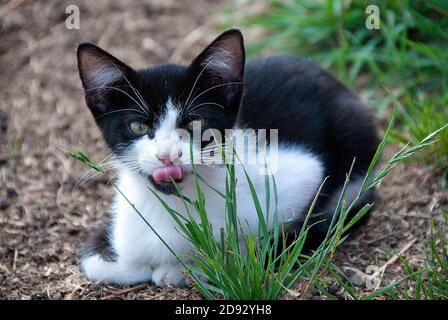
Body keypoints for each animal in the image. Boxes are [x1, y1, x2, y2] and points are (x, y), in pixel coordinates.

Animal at [76, 28, 378, 286]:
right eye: (138, 126)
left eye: (195, 122)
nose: (167, 156)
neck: (173, 204)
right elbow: (96, 261)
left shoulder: (302, 172)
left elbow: (246, 249)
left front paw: (184, 267)